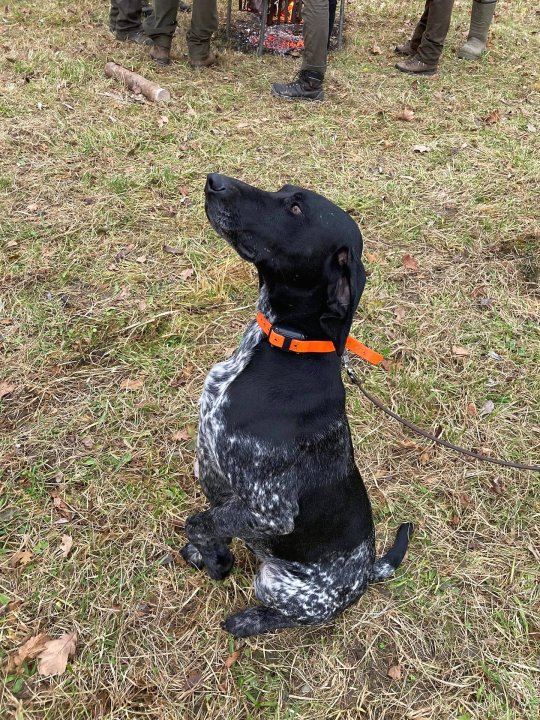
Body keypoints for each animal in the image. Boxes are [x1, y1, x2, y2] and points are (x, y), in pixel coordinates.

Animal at [180, 173, 413, 637]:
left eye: (295, 209)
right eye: (283, 191)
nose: (214, 180)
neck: (283, 344)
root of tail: (364, 576)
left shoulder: (272, 512)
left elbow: (201, 522)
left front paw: (213, 557)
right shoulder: (218, 477)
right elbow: (214, 524)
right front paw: (211, 556)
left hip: (277, 583)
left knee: (291, 614)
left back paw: (250, 619)